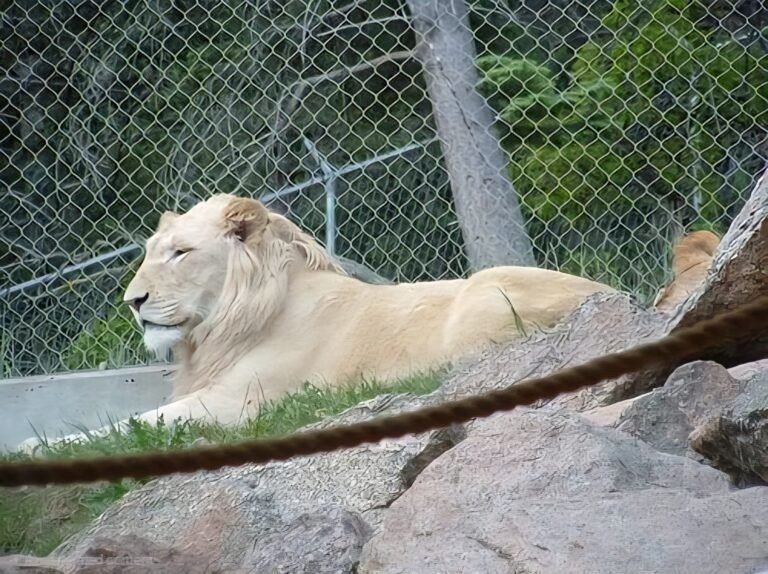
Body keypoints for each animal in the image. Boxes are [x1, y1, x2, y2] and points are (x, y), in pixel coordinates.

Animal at [18, 193, 618, 452]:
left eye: (181, 253)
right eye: (149, 252)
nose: (132, 300)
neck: (217, 331)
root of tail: (617, 293)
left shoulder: (244, 405)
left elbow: (131, 425)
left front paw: (29, 449)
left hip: (484, 295)